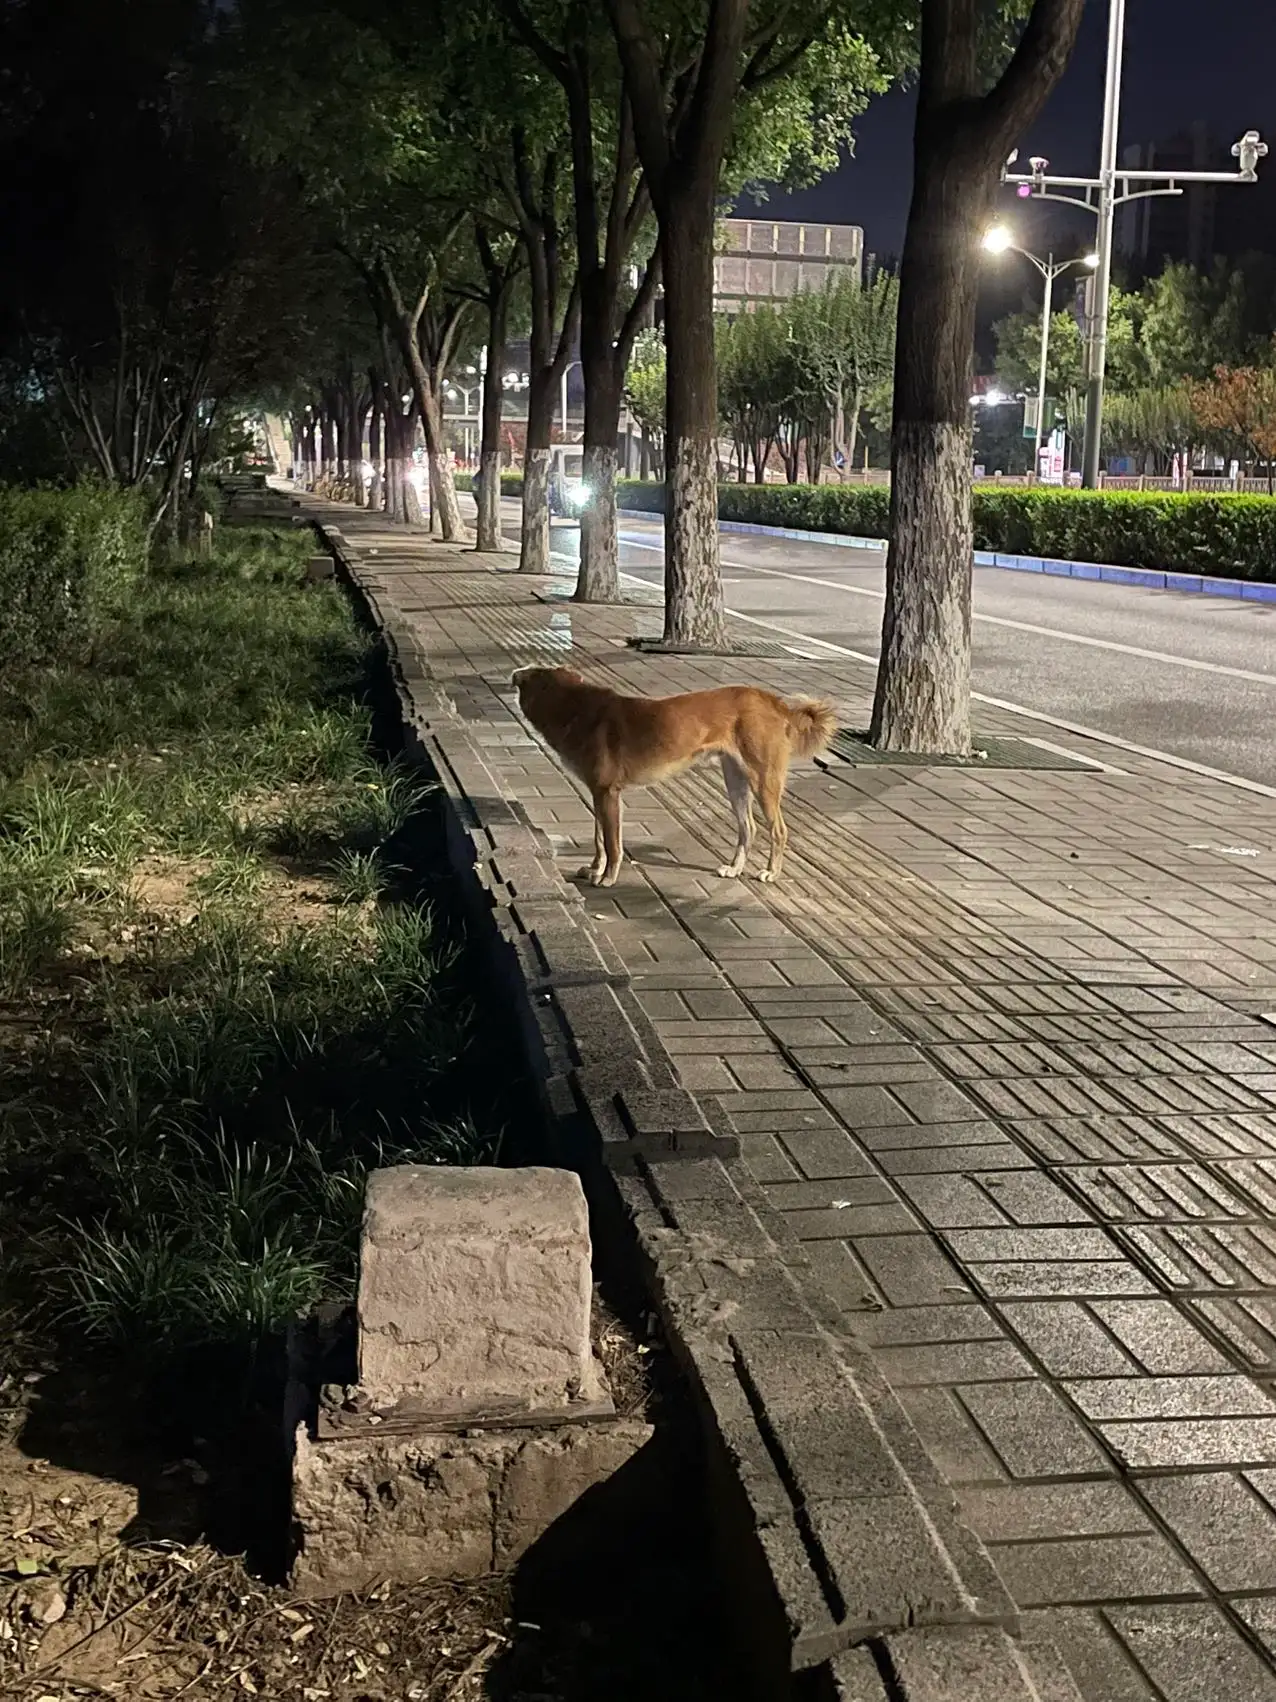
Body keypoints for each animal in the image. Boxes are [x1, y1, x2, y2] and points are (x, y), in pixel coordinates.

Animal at [513, 660, 843, 885]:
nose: (515, 674)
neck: (574, 707)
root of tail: (776, 702)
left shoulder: (608, 794)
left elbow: (612, 843)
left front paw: (607, 877)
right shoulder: (597, 794)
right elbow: (598, 839)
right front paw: (594, 869)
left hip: (763, 781)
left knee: (778, 830)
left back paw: (771, 872)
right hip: (735, 780)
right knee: (748, 828)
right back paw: (735, 868)